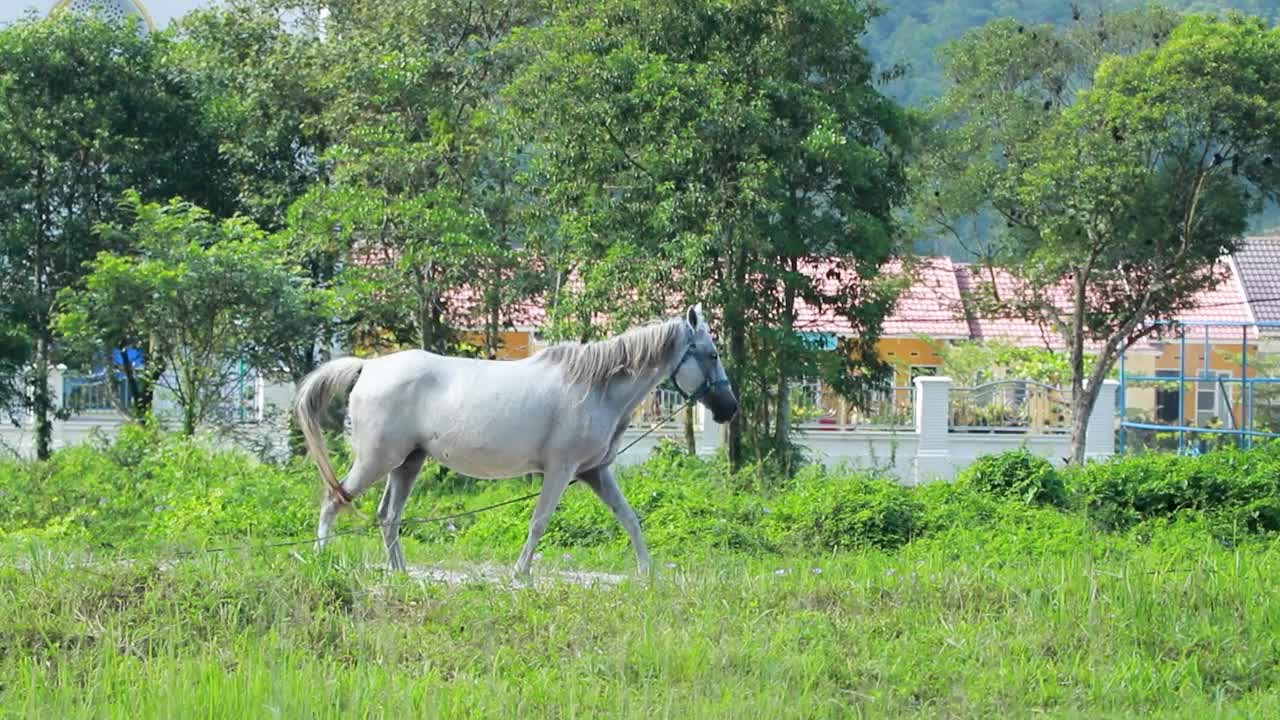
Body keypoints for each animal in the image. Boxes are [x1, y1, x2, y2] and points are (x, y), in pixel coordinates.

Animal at [289, 302, 732, 571]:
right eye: (712, 354)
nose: (729, 408)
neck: (595, 387)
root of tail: (369, 367)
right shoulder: (561, 471)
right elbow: (539, 522)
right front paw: (522, 574)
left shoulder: (596, 473)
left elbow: (630, 520)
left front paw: (648, 574)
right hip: (376, 460)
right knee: (334, 501)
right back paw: (322, 558)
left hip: (408, 463)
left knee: (388, 516)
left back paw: (399, 573)